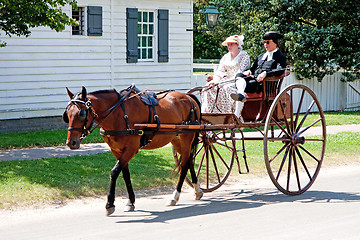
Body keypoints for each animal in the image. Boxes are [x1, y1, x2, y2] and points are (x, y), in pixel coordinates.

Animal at [63, 86, 204, 216]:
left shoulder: (131, 149)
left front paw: (110, 204)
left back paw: (175, 196)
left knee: (184, 164)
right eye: (67, 115)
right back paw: (197, 190)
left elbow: (114, 172)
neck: (118, 113)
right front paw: (130, 202)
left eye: (81, 114)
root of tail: (188, 97)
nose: (71, 143)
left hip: (186, 137)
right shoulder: (116, 150)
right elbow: (125, 174)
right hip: (176, 138)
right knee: (189, 160)